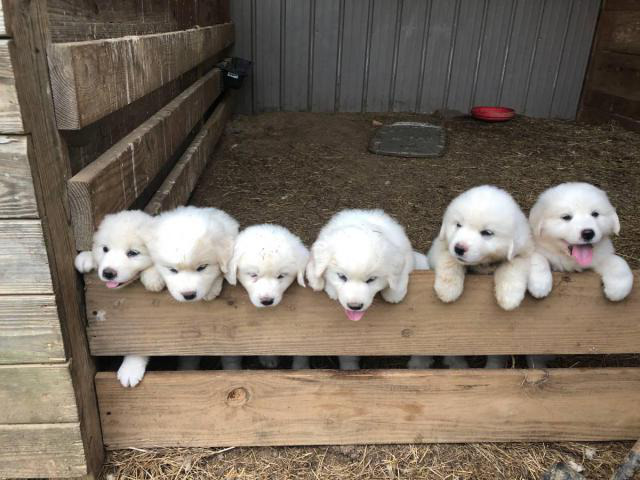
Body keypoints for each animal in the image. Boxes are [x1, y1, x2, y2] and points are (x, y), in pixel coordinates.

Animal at [304, 208, 424, 370]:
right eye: (342, 277)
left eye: (371, 280)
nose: (354, 306)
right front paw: (320, 283)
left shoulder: (403, 255)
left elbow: (399, 274)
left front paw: (394, 294)